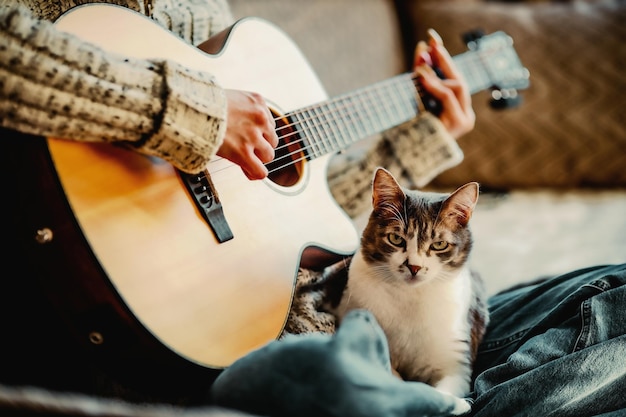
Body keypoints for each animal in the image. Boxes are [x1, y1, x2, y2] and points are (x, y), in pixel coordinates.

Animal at [332, 166, 488, 396]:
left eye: (439, 244)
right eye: (396, 239)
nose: (414, 267)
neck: (409, 296)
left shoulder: (456, 362)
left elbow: (445, 393)